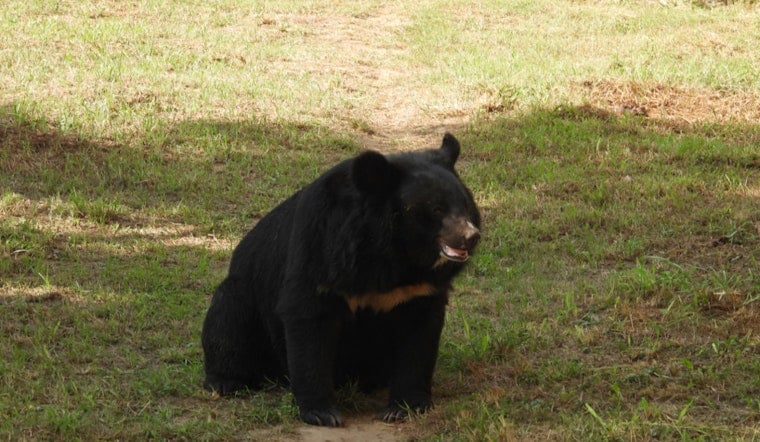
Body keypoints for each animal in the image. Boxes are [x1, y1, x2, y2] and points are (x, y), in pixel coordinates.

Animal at [201, 133, 481, 427]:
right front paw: (322, 413)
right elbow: (309, 322)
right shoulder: (323, 249)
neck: (395, 255)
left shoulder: (419, 289)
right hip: (244, 294)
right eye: (436, 209)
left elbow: (419, 336)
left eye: (466, 205)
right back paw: (225, 382)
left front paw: (404, 407)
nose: (471, 236)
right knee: (228, 319)